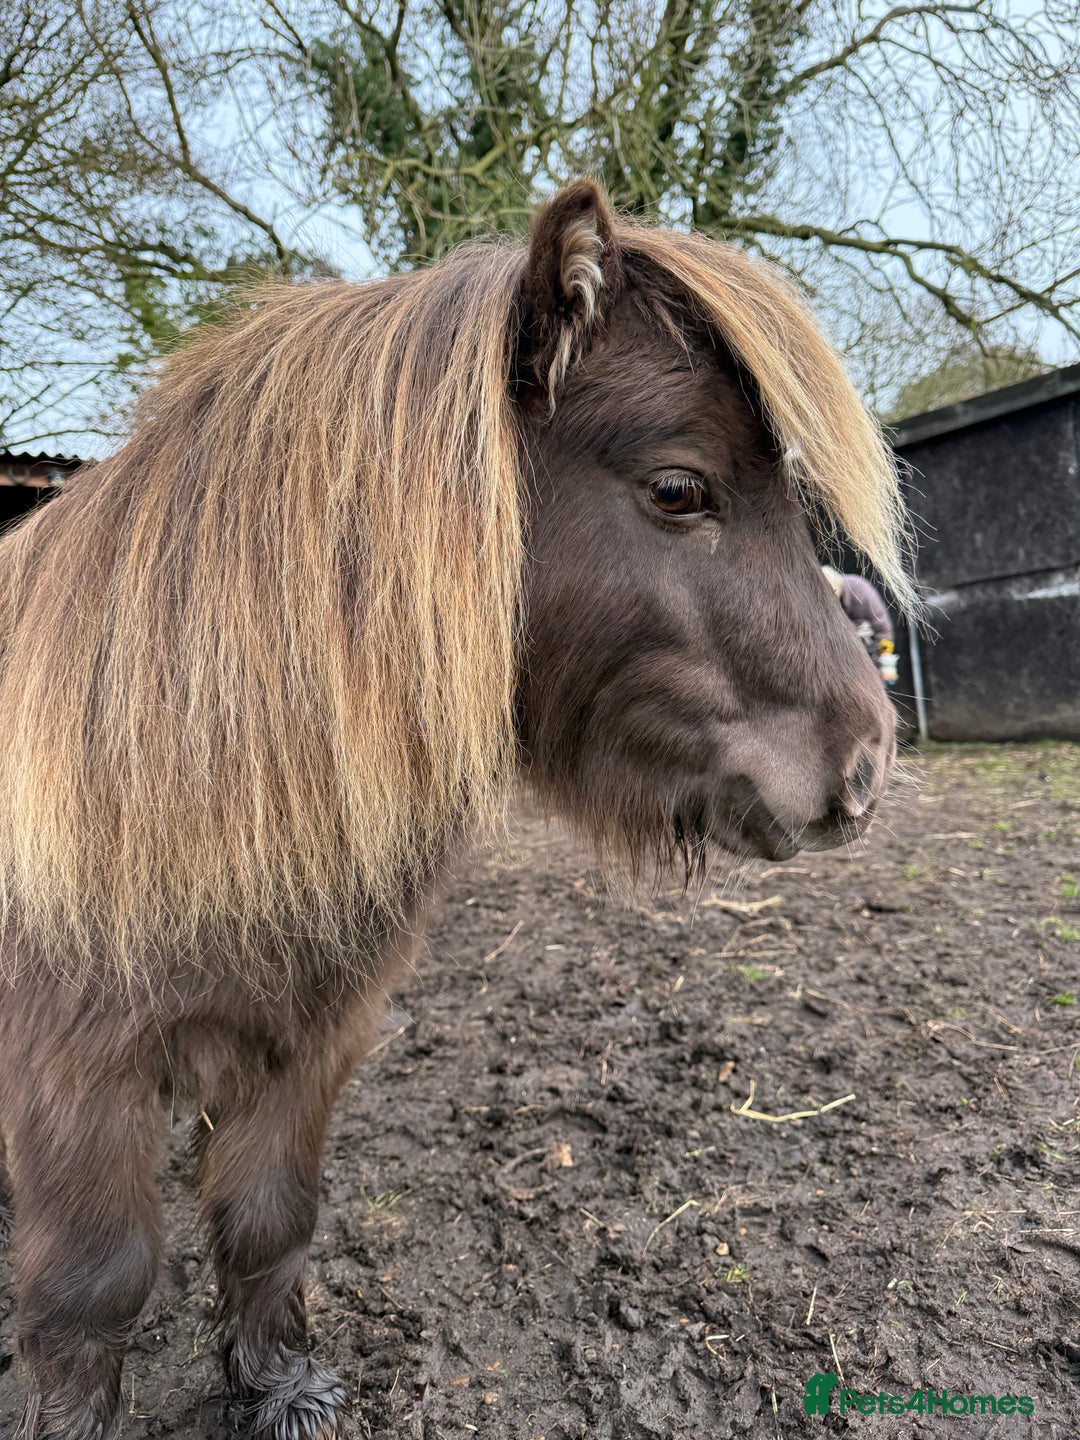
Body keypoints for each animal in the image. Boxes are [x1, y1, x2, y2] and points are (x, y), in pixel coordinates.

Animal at [0, 179, 912, 1439]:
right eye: (679, 489)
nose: (865, 764)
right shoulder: (74, 1082)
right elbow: (92, 1287)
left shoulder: (311, 1040)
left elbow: (270, 1214)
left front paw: (279, 1388)